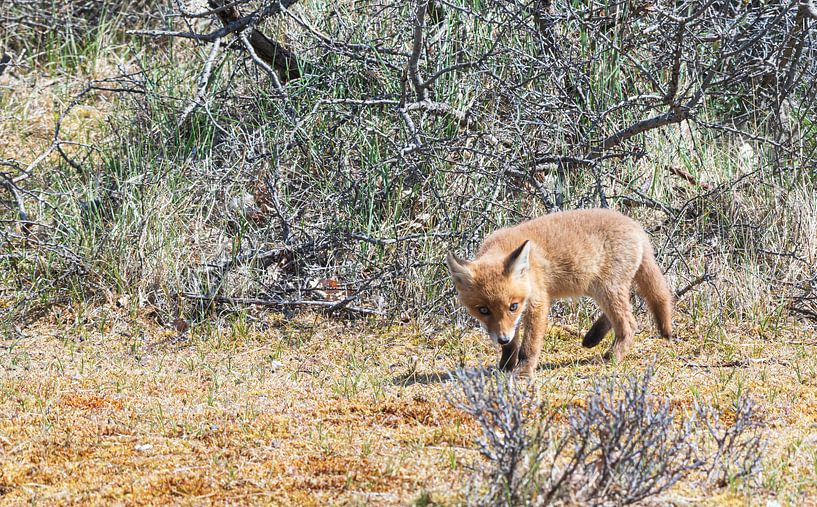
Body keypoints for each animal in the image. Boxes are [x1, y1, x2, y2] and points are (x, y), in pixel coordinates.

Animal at [446, 208, 673, 376]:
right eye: (483, 310)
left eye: (513, 306)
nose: (502, 339)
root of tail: (636, 226)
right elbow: (513, 345)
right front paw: (506, 365)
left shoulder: (537, 302)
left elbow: (529, 344)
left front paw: (523, 371)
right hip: (598, 289)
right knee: (621, 313)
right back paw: (593, 336)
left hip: (607, 289)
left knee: (629, 324)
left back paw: (612, 357)